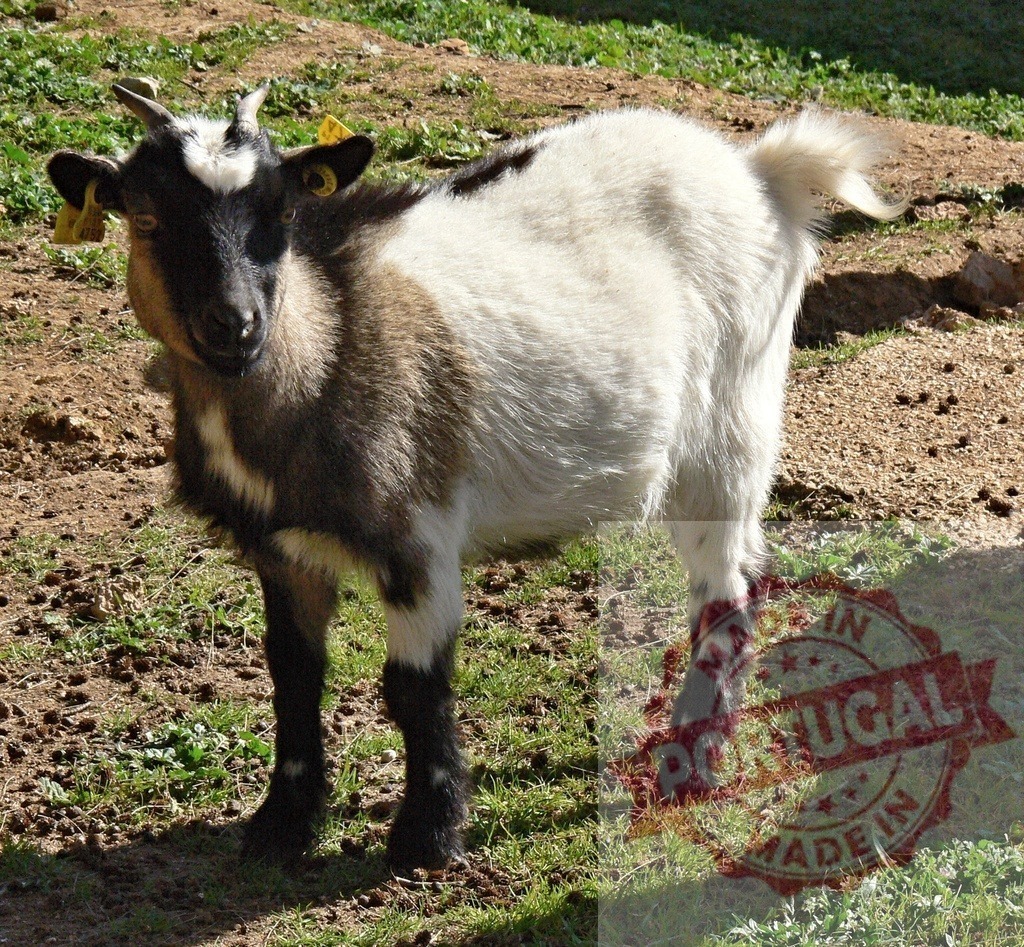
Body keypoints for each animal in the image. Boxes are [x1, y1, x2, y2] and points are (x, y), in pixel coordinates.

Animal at [47, 85, 904, 869]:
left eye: (281, 216)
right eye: (147, 220)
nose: (233, 326)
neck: (327, 344)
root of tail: (758, 169)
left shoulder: (417, 536)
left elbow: (412, 686)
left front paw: (427, 836)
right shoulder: (282, 550)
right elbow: (293, 674)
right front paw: (282, 822)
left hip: (731, 425)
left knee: (729, 593)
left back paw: (687, 766)